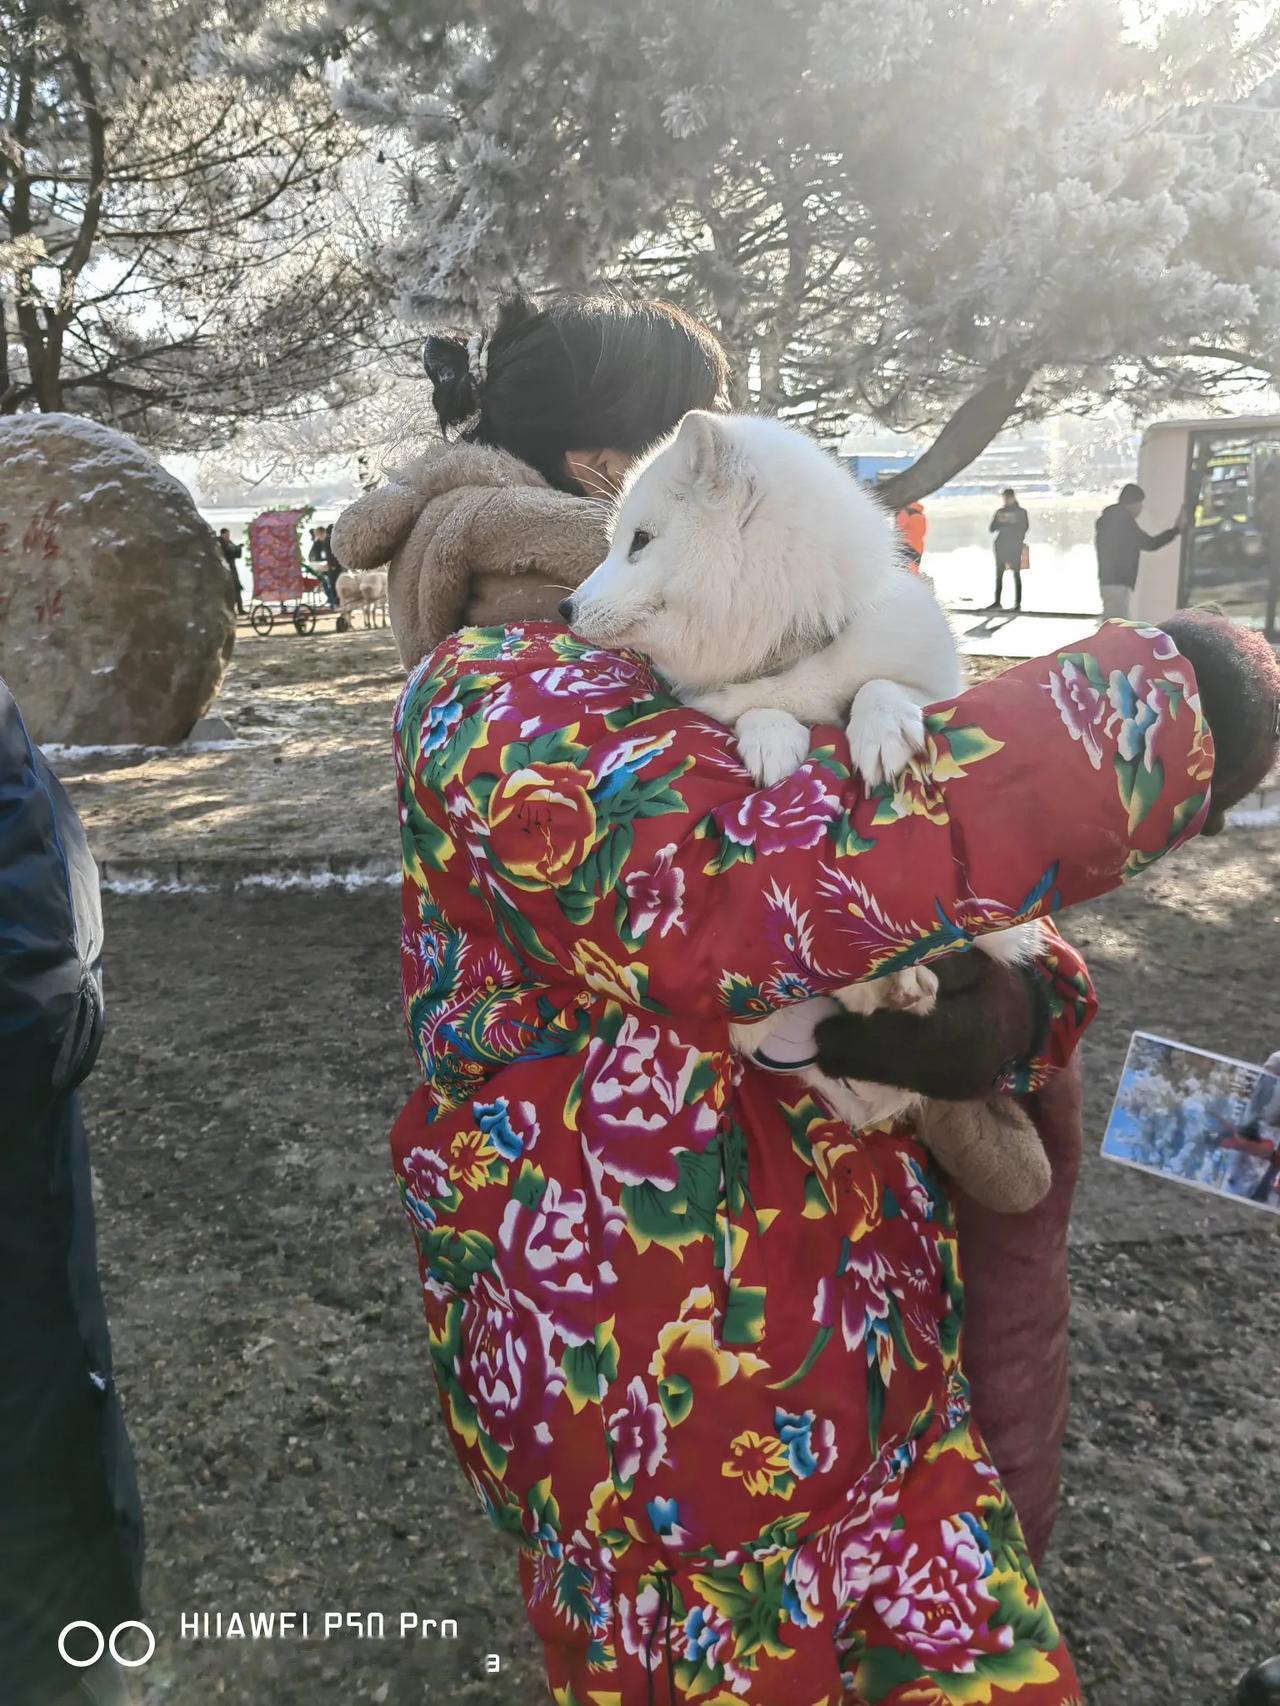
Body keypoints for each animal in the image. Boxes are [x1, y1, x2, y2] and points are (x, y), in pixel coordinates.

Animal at [566, 406, 1044, 1139]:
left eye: (640, 541)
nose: (562, 609)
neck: (788, 655)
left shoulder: (927, 682)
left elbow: (880, 684)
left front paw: (879, 726)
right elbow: (755, 709)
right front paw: (773, 738)